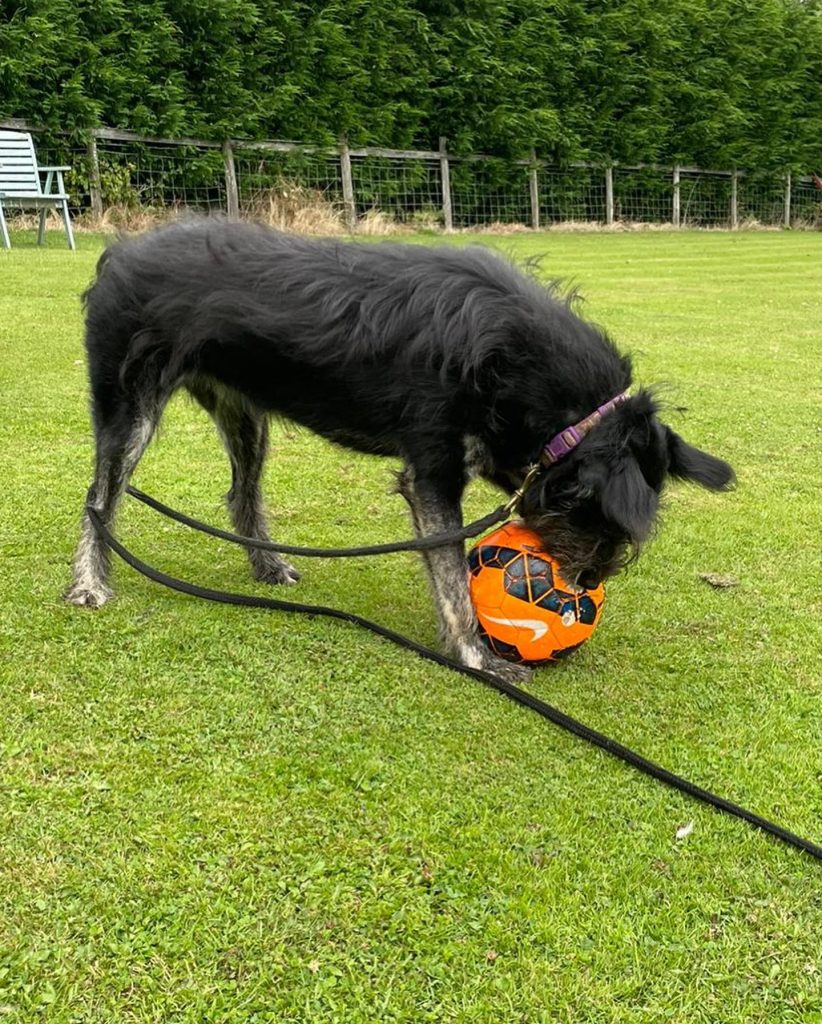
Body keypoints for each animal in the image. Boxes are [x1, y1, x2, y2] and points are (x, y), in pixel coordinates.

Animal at [66, 219, 732, 679]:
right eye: (594, 516)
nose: (588, 578)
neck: (522, 361)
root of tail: (122, 250)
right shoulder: (433, 474)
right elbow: (454, 581)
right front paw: (474, 655)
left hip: (243, 413)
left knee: (240, 493)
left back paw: (267, 566)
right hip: (129, 410)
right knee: (100, 496)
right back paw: (89, 583)